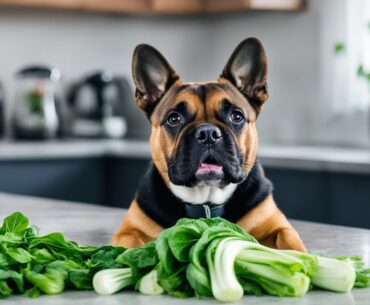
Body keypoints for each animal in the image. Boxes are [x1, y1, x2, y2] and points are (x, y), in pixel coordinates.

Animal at [112, 37, 306, 252]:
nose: (208, 134)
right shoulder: (128, 231)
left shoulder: (277, 224)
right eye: (174, 119)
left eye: (236, 116)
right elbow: (129, 247)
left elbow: (290, 242)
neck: (205, 202)